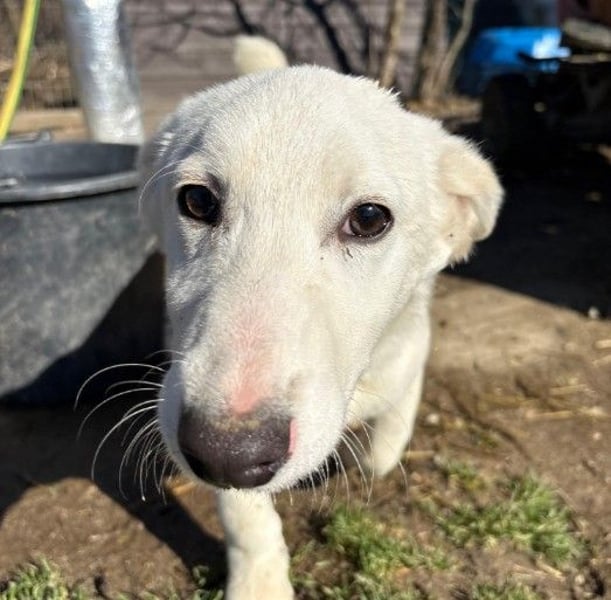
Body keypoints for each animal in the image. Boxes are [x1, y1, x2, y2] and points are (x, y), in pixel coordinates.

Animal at [138, 36, 503, 599]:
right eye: (196, 200)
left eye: (370, 219)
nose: (226, 451)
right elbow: (246, 515)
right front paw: (260, 583)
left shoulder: (406, 350)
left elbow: (392, 430)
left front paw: (379, 454)